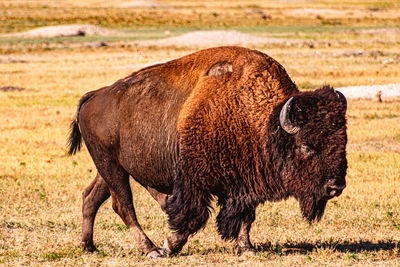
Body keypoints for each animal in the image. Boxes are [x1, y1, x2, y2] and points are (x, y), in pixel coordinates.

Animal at [68, 46, 346, 258]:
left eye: (343, 142)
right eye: (306, 146)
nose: (335, 187)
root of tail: (94, 96)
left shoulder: (244, 184)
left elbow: (245, 217)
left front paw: (247, 248)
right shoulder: (194, 181)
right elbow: (192, 217)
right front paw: (170, 246)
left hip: (110, 169)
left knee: (91, 197)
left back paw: (89, 247)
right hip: (111, 166)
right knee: (123, 205)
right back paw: (151, 249)